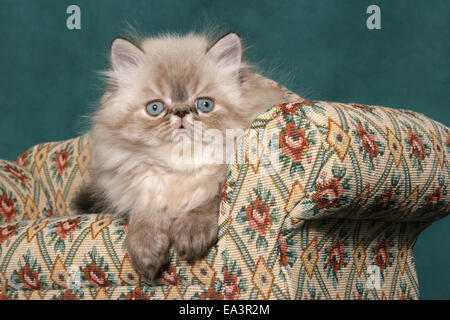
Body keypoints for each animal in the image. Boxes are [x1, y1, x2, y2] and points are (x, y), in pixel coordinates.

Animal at [75, 31, 284, 278]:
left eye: (205, 104)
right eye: (155, 108)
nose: (182, 111)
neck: (179, 169)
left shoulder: (216, 185)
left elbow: (206, 202)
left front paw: (191, 232)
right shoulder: (144, 190)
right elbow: (144, 215)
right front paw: (146, 248)